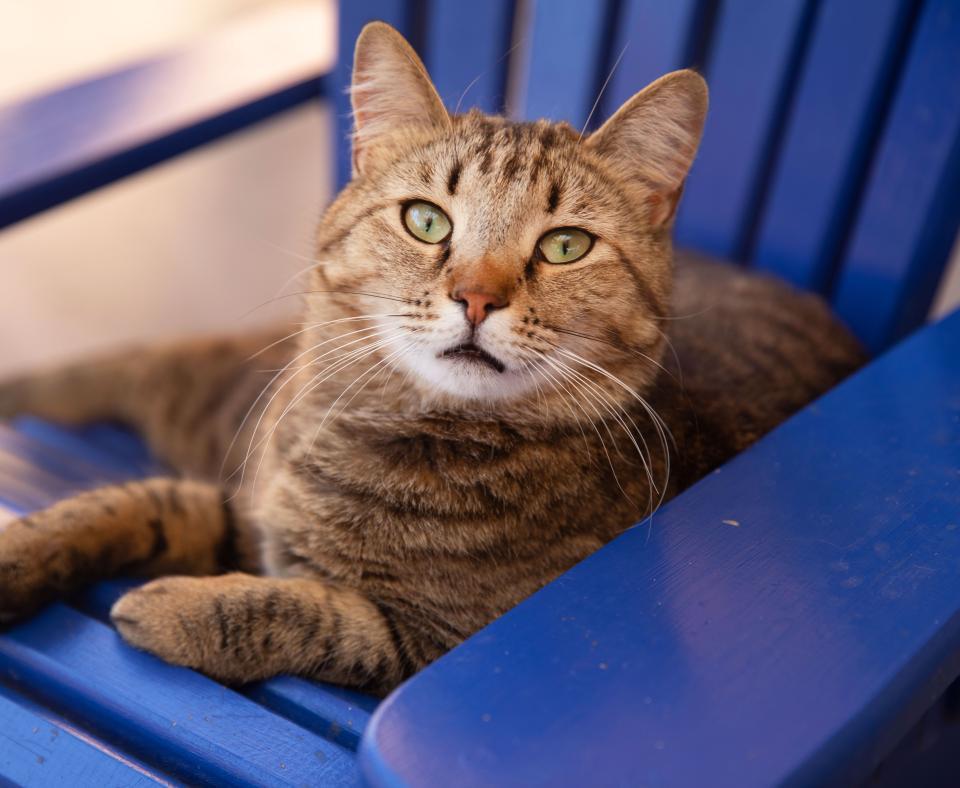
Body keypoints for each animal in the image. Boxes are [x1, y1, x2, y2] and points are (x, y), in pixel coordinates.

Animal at [0, 21, 864, 692]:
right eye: (425, 220)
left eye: (566, 245)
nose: (477, 297)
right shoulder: (246, 508)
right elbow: (133, 503)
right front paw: (21, 552)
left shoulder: (428, 644)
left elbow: (313, 611)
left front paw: (176, 607)